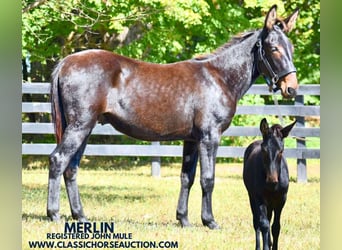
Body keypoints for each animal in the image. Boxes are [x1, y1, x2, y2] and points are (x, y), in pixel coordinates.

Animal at [46, 4, 298, 229]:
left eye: (291, 48)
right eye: (274, 48)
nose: (291, 88)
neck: (218, 77)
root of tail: (66, 62)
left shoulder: (192, 140)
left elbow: (187, 177)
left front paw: (184, 219)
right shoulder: (209, 137)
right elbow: (208, 179)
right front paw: (209, 221)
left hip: (84, 128)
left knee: (71, 168)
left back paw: (80, 216)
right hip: (79, 127)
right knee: (58, 160)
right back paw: (54, 214)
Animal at [243, 118, 296, 249]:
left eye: (281, 151)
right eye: (264, 150)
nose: (272, 180)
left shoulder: (281, 199)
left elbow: (276, 226)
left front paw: (273, 246)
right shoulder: (259, 198)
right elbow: (264, 225)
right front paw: (266, 247)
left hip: (271, 202)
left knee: (269, 218)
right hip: (252, 197)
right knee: (257, 222)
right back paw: (258, 246)